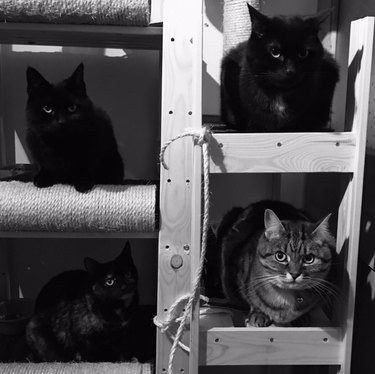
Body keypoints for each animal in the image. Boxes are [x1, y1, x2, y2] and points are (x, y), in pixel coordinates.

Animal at [25, 63, 125, 193]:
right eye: (47, 109)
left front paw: (83, 181)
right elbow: (41, 164)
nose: (61, 121)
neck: (60, 145)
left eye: (72, 108)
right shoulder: (34, 143)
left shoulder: (96, 144)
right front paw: (42, 178)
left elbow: (88, 165)